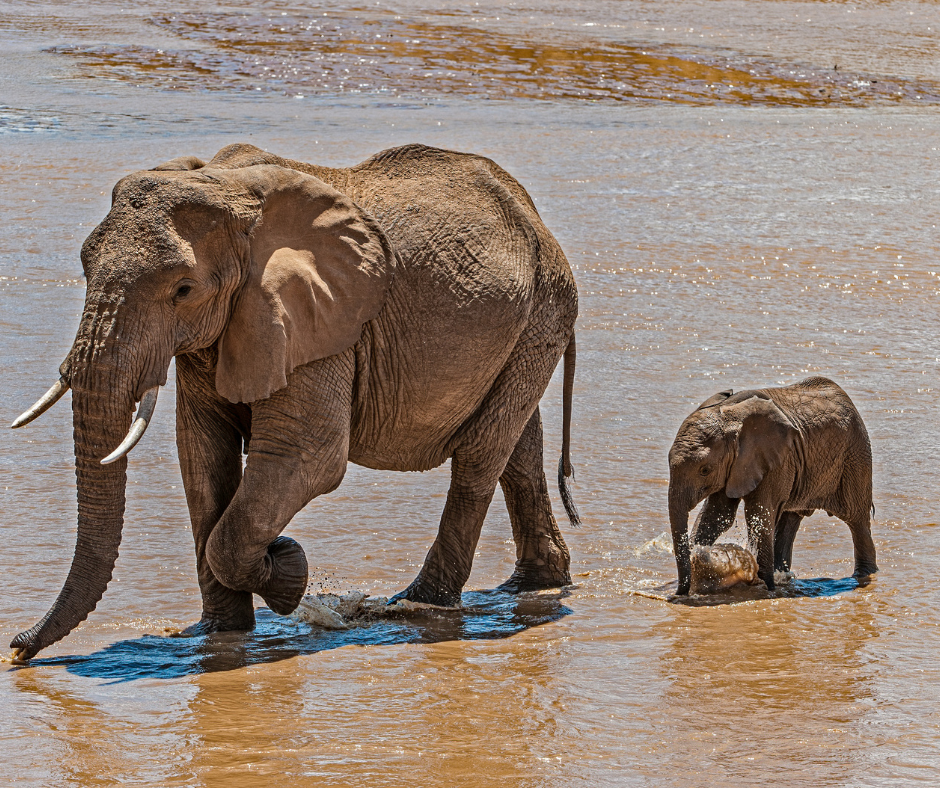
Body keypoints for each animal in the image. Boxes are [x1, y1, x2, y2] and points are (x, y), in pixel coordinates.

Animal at [9, 142, 580, 660]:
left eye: (183, 290)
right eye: (84, 267)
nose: (17, 647)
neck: (226, 188)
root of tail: (532, 213)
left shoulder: (318, 325)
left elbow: (307, 455)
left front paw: (290, 572)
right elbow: (202, 456)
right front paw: (222, 631)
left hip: (543, 312)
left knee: (480, 455)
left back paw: (417, 605)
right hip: (529, 324)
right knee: (518, 450)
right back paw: (532, 584)